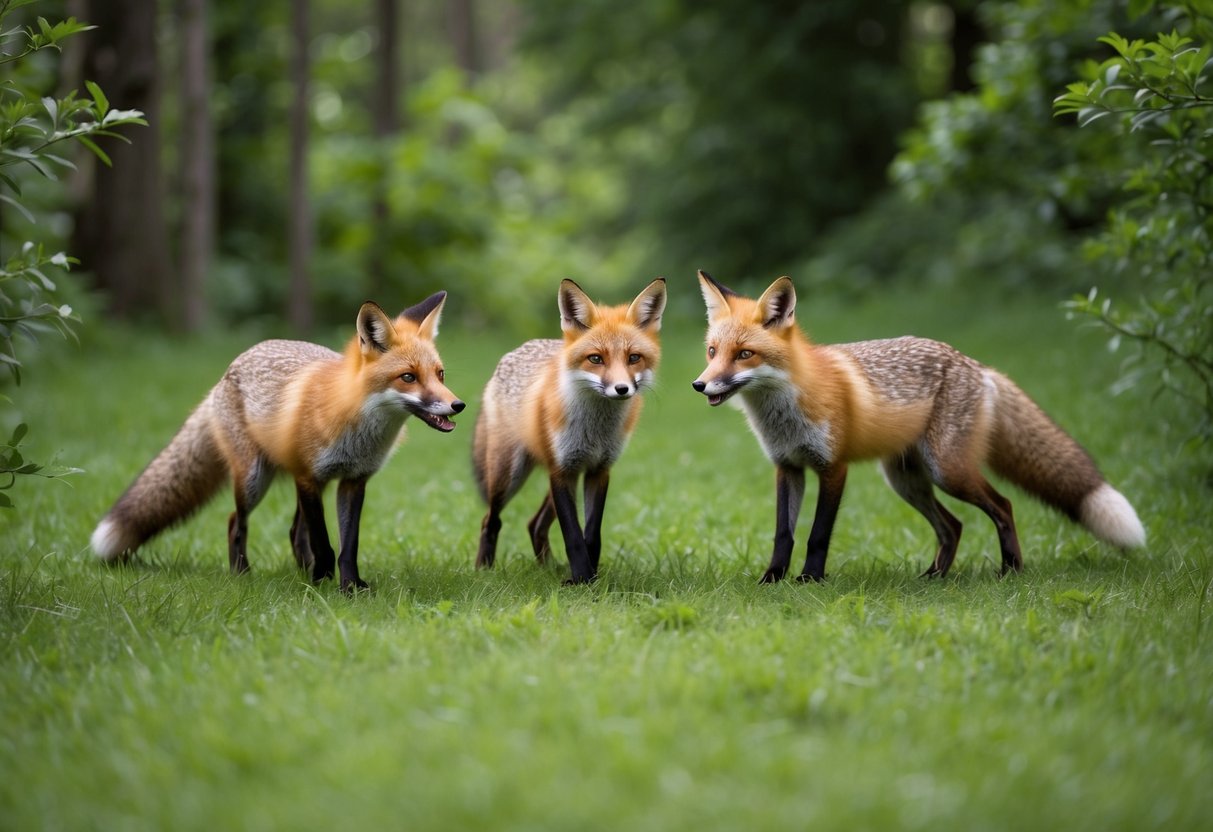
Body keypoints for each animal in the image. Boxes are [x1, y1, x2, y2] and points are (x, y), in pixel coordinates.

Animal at [90, 292, 465, 592]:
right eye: (408, 377)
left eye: (440, 374)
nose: (457, 405)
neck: (355, 426)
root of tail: (230, 367)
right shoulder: (307, 477)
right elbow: (325, 543)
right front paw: (324, 586)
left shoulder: (353, 481)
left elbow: (348, 545)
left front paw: (349, 587)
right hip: (254, 478)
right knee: (235, 522)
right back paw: (243, 574)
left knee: (293, 531)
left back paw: (303, 572)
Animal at [472, 277, 667, 584]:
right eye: (596, 359)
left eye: (634, 357)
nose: (622, 389)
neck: (595, 431)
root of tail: (518, 349)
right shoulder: (561, 471)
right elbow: (573, 534)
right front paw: (581, 580)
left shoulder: (598, 470)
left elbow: (592, 535)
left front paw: (590, 578)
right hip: (509, 474)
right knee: (490, 519)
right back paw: (484, 569)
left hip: (566, 477)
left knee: (535, 524)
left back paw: (548, 567)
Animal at [691, 270, 1146, 583]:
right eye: (712, 351)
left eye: (744, 354)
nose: (699, 385)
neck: (784, 409)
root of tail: (976, 365)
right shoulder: (788, 467)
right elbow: (783, 534)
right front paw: (773, 580)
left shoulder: (832, 467)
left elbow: (818, 533)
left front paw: (810, 580)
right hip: (907, 480)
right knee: (953, 526)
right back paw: (934, 577)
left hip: (948, 470)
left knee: (1002, 506)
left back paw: (1011, 570)